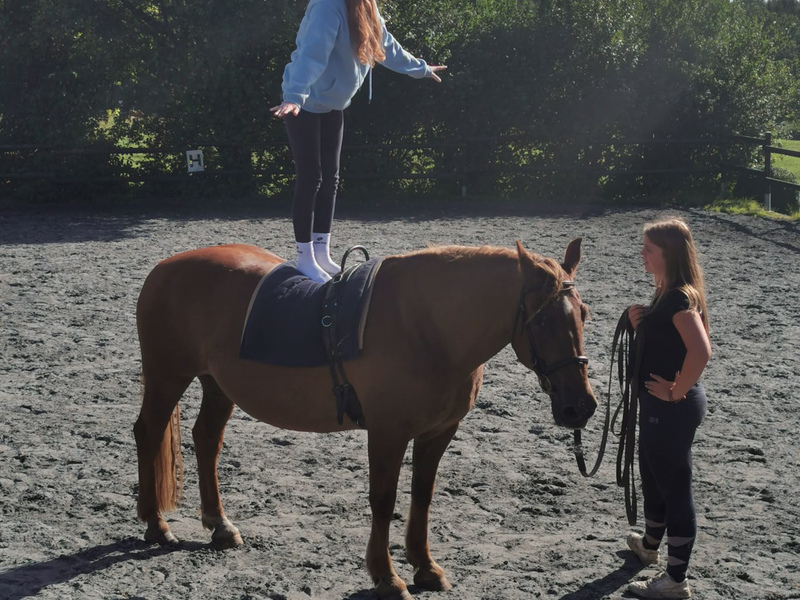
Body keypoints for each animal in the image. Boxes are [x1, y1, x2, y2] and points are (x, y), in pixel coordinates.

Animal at [133, 238, 596, 600]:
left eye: (584, 313)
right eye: (543, 319)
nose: (581, 406)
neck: (428, 326)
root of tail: (165, 268)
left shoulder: (438, 433)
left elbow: (422, 496)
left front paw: (425, 567)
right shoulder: (388, 433)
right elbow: (383, 500)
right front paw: (387, 577)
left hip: (217, 385)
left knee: (206, 439)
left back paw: (219, 525)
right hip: (167, 376)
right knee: (148, 433)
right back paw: (156, 525)